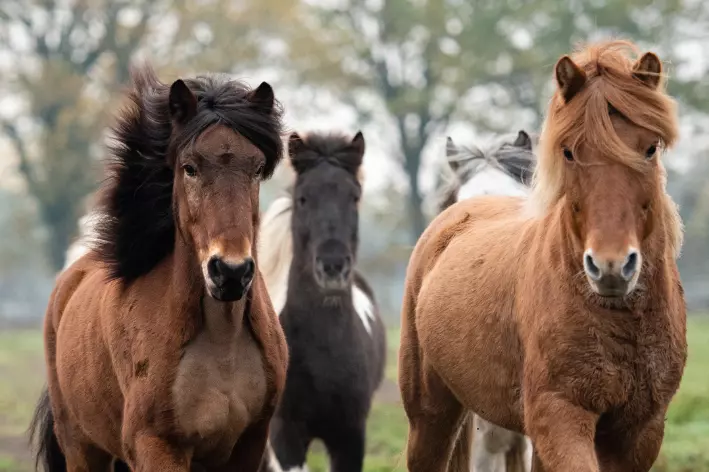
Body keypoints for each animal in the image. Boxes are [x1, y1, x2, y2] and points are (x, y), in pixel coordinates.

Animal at [27, 65, 288, 472]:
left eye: (257, 168)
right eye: (190, 168)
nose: (230, 273)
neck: (222, 341)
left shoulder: (247, 446)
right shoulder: (156, 445)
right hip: (82, 448)